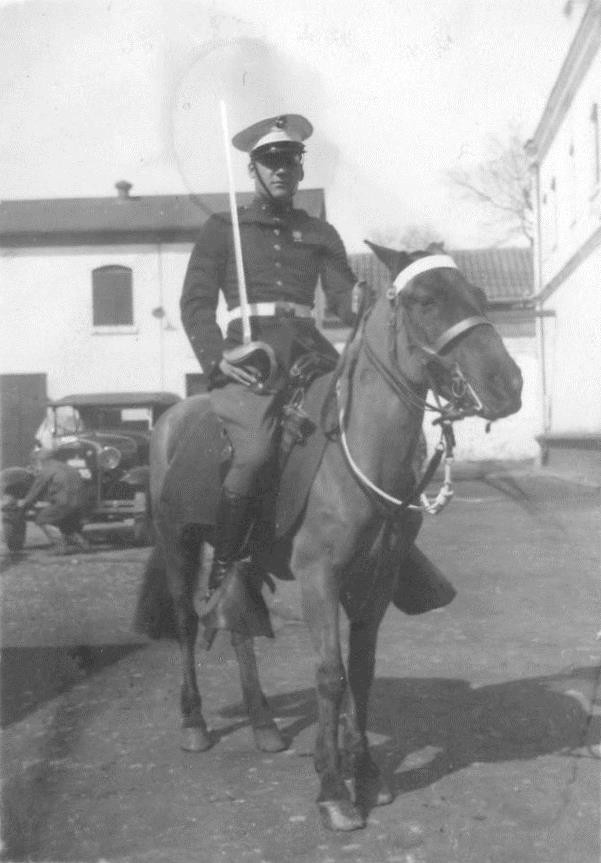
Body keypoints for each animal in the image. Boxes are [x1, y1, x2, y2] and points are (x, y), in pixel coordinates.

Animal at [135, 243, 520, 832]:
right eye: (425, 300)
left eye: (477, 296)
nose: (508, 385)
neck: (355, 449)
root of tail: (172, 417)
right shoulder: (320, 579)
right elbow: (330, 675)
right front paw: (333, 787)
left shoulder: (375, 580)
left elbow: (360, 673)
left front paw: (365, 773)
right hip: (178, 545)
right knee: (186, 625)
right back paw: (195, 722)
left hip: (242, 558)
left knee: (240, 625)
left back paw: (264, 724)